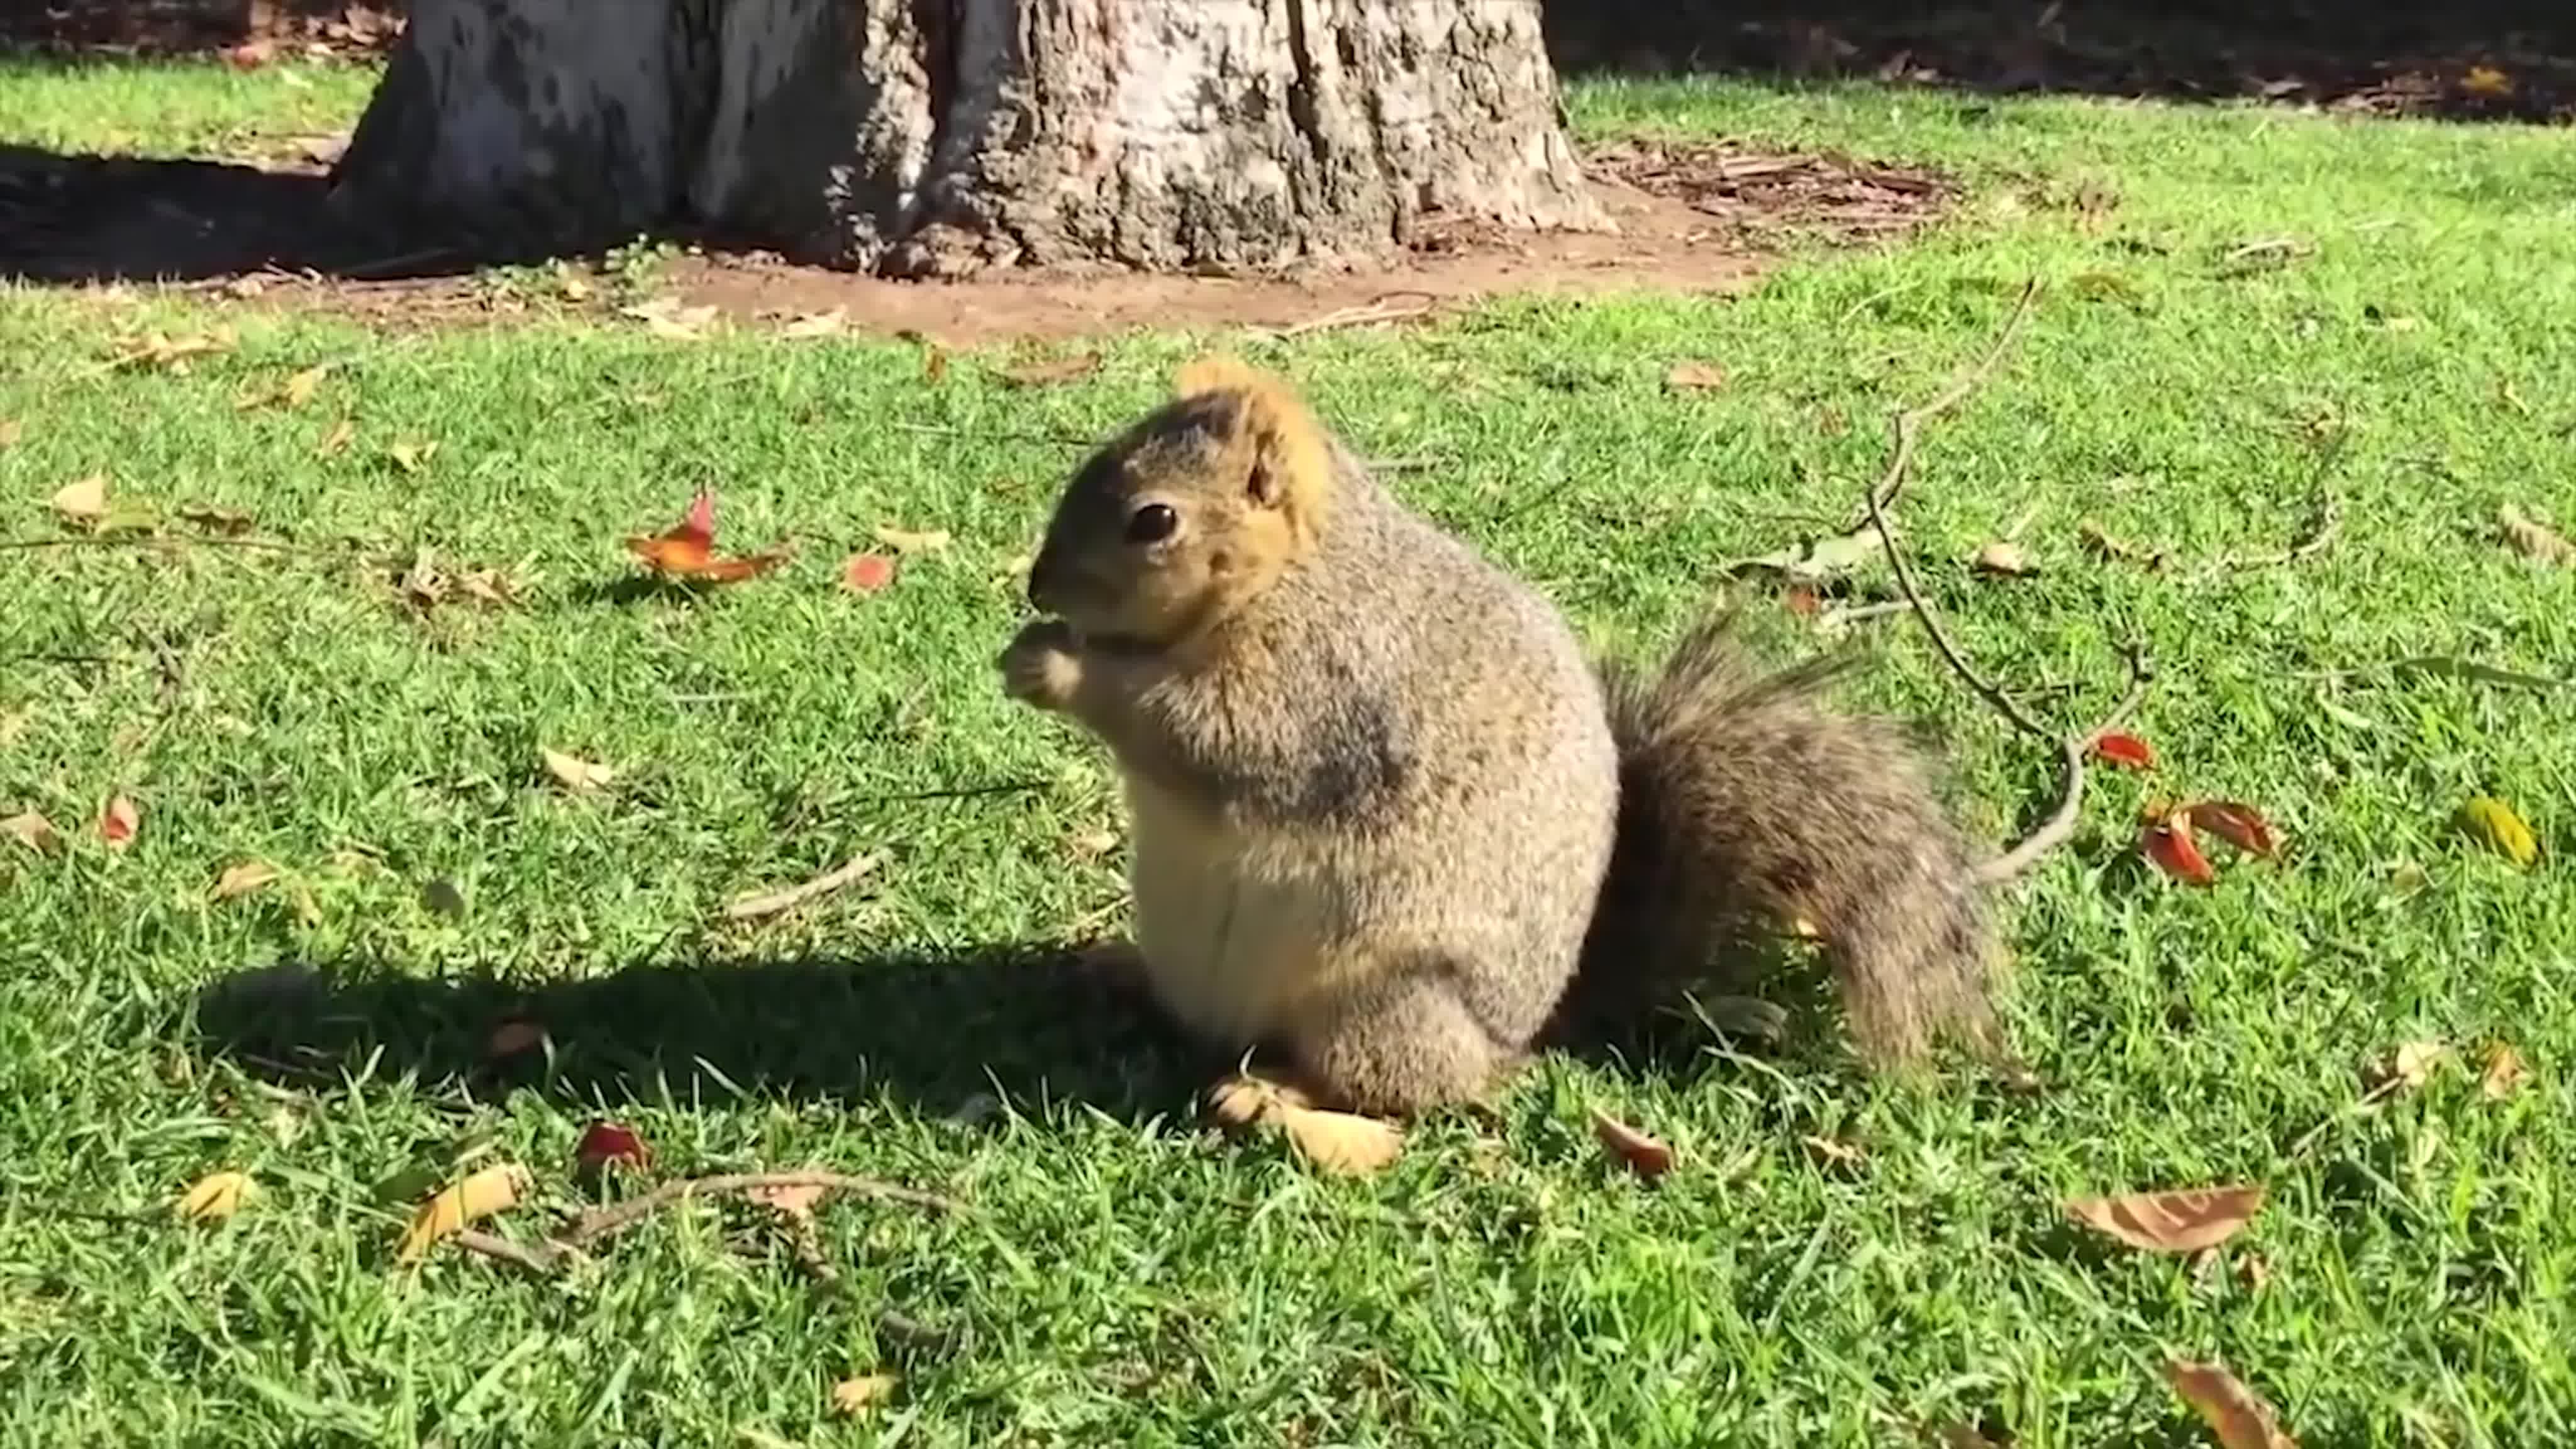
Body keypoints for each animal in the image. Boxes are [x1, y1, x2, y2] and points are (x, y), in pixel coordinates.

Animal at [994, 355, 1999, 1108]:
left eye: (1154, 519)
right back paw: (1115, 970)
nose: (1041, 586)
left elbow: (1209, 738)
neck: (1294, 577)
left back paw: (1276, 1092)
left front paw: (1059, 668)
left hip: (1382, 1000)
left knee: (1408, 1087)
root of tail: (1533, 1027)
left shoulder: (1327, 687)